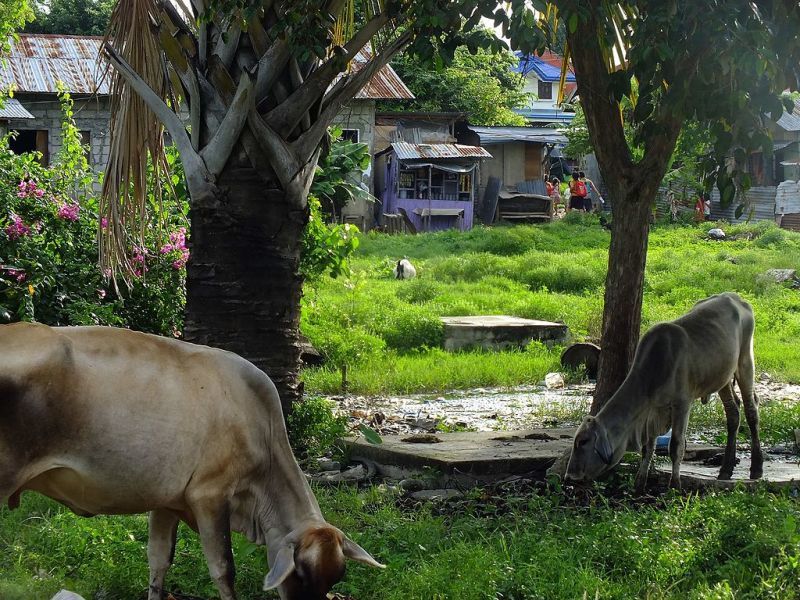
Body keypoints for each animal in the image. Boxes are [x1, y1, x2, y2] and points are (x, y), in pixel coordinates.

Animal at [0, 324, 382, 600]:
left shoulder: (166, 500)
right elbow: (223, 569)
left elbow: (158, 562)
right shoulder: (210, 495)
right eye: (300, 574)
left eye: (336, 577)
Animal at [564, 292, 764, 492]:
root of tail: (735, 297)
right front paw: (640, 482)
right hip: (722, 377)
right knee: (733, 413)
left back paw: (756, 468)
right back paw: (725, 469)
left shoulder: (682, 404)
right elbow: (648, 447)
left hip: (746, 362)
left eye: (583, 441)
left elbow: (675, 446)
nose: (569, 476)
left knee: (751, 410)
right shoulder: (653, 411)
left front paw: (674, 485)